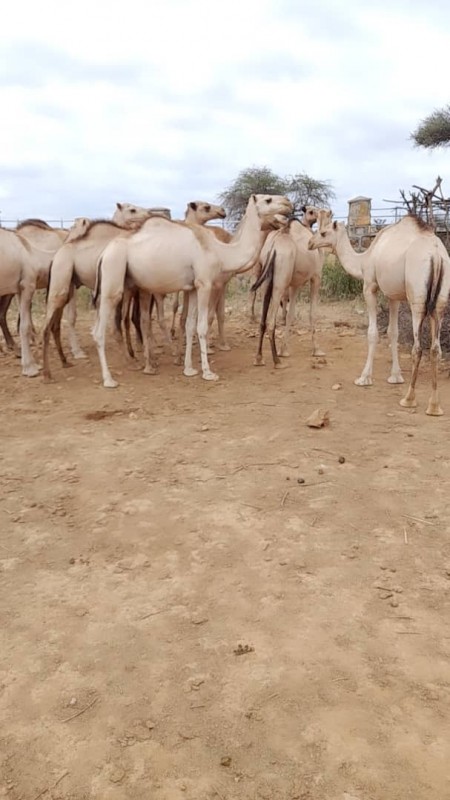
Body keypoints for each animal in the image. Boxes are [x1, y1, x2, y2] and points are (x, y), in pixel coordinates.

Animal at [42, 204, 154, 382]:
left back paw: (65, 361)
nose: (149, 213)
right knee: (47, 325)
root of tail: (55, 257)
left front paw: (134, 356)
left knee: (55, 323)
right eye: (132, 209)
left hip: (67, 285)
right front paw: (131, 360)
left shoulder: (127, 289)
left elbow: (125, 320)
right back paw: (47, 373)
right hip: (61, 276)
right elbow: (119, 324)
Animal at [92, 193, 293, 388]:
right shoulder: (205, 283)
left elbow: (189, 325)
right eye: (268, 199)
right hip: (113, 273)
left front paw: (189, 369)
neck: (221, 252)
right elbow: (201, 326)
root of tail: (103, 254)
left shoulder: (194, 288)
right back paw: (110, 380)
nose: (288, 204)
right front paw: (208, 372)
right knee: (100, 330)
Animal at [252, 207, 332, 367]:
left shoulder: (294, 284)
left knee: (263, 319)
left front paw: (284, 350)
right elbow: (312, 313)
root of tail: (273, 247)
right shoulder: (316, 277)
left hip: (266, 277)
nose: (331, 214)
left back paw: (259, 358)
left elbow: (290, 314)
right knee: (271, 321)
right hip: (281, 278)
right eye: (312, 211)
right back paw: (277, 361)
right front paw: (317, 350)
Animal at [308, 215, 450, 416]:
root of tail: (436, 255)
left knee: (418, 347)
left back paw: (408, 399)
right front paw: (395, 376)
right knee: (436, 348)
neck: (363, 260)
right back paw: (434, 406)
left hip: (417, 297)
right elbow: (393, 332)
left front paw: (364, 378)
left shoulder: (370, 286)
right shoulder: (393, 295)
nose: (310, 243)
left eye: (323, 232)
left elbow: (373, 332)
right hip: (440, 302)